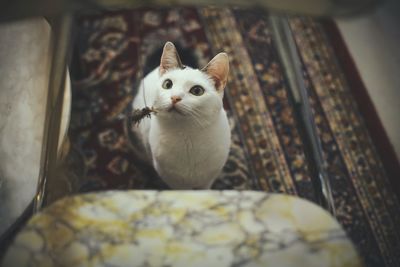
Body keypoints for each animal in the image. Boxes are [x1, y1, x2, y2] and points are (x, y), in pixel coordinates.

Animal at [132, 42, 231, 189]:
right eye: (168, 84)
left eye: (197, 91)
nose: (175, 97)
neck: (187, 136)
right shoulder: (171, 179)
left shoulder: (208, 179)